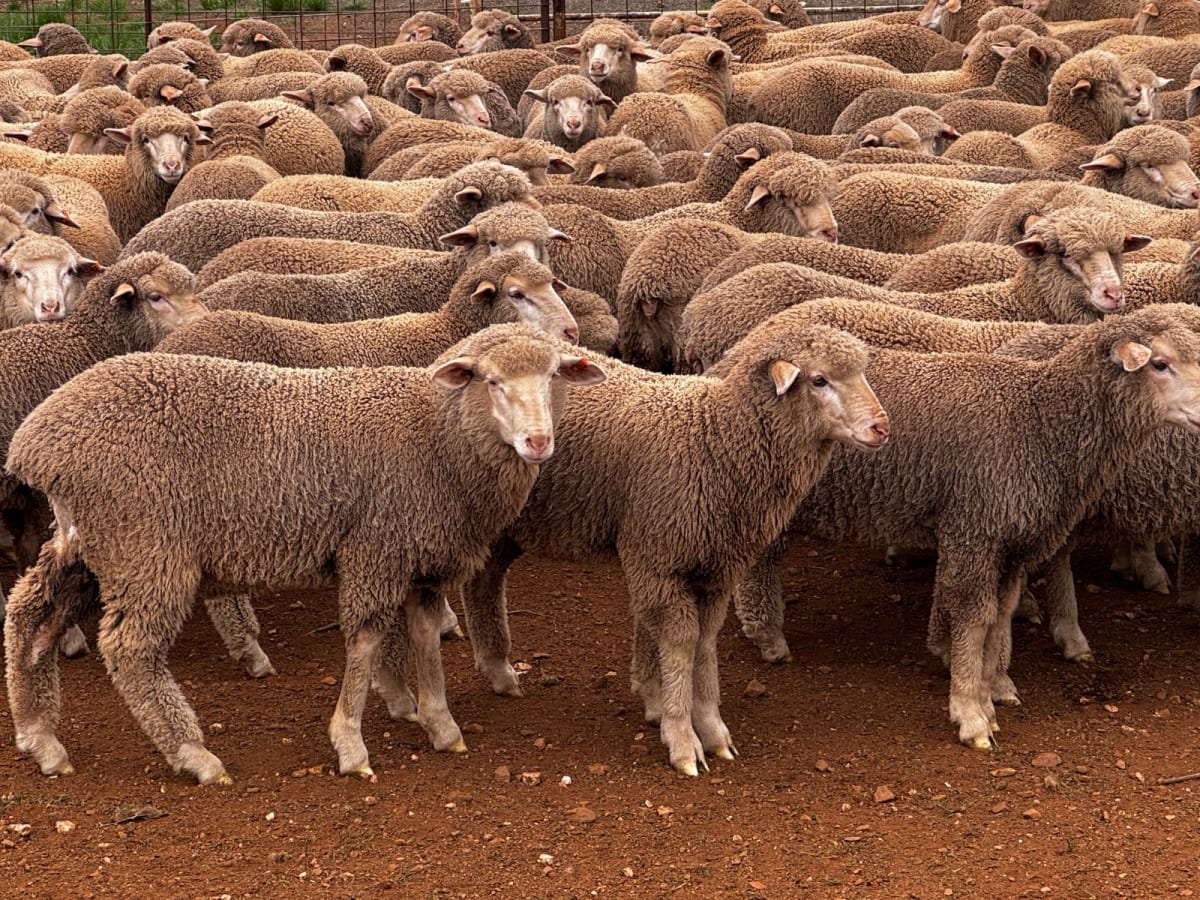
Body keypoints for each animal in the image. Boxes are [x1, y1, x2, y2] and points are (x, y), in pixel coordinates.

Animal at [3, 322, 607, 783]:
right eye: (492, 381)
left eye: (555, 377)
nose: (538, 443)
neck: (440, 438)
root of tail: (38, 440)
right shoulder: (376, 548)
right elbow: (364, 642)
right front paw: (351, 745)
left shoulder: (425, 559)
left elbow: (424, 637)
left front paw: (441, 724)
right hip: (146, 546)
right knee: (130, 648)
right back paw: (194, 755)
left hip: (92, 544)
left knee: (30, 615)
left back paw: (40, 737)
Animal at [456, 322, 888, 775]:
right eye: (820, 380)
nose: (881, 427)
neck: (717, 440)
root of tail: (481, 334)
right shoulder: (660, 558)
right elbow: (681, 642)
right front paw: (682, 737)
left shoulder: (714, 570)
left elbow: (705, 640)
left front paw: (708, 726)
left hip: (506, 525)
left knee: (484, 581)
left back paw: (497, 669)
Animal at [725, 304, 1200, 746]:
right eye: (1160, 364)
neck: (1039, 420)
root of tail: (737, 357)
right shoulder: (976, 529)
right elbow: (975, 619)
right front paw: (971, 711)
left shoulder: (1011, 542)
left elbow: (1000, 614)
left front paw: (992, 691)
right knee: (757, 566)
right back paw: (769, 639)